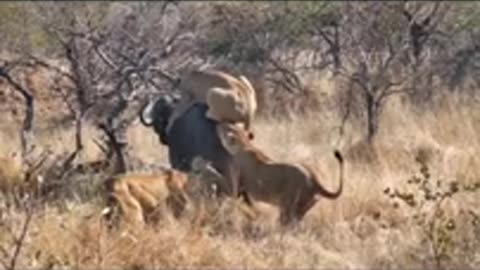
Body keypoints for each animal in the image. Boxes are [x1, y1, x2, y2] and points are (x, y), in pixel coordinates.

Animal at [216, 123, 344, 226]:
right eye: (230, 125)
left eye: (227, 128)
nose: (218, 124)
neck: (245, 145)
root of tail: (315, 180)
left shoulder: (236, 182)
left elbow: (231, 192)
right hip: (301, 208)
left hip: (289, 207)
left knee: (289, 224)